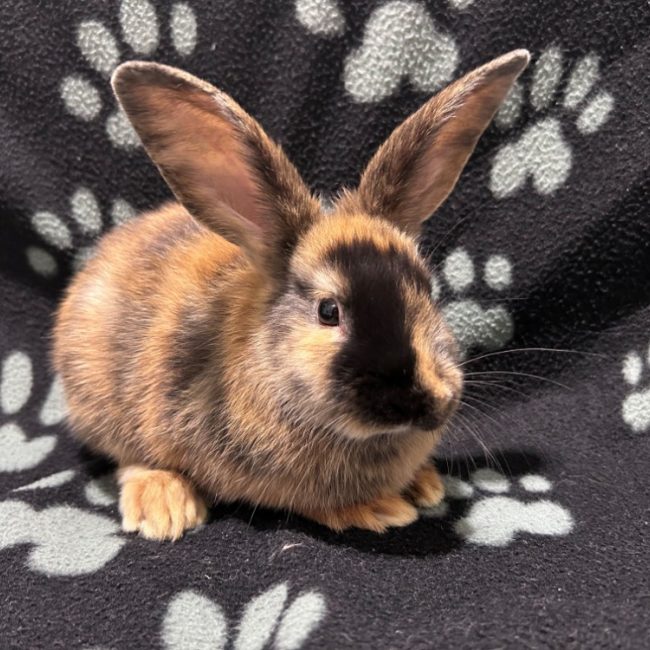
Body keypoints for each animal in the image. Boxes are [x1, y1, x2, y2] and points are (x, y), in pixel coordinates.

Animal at [53, 49, 529, 540]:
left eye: (428, 290)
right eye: (328, 310)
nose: (418, 401)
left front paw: (425, 484)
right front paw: (380, 508)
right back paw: (164, 508)